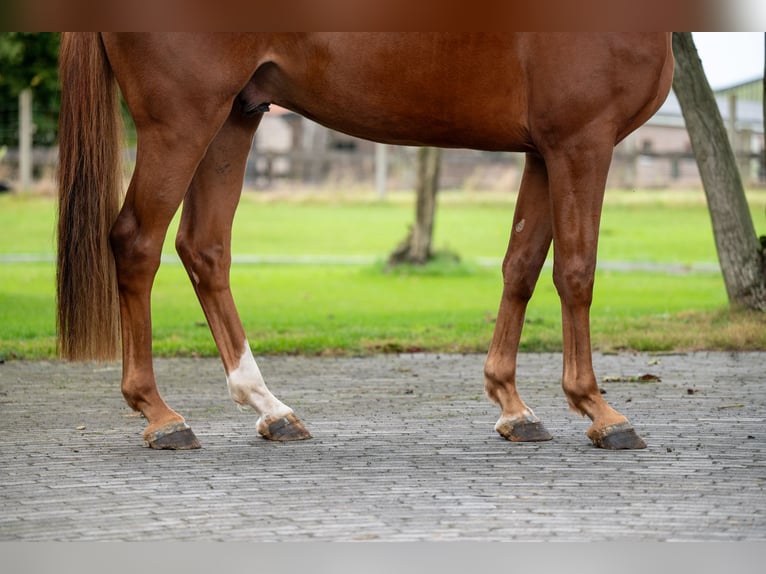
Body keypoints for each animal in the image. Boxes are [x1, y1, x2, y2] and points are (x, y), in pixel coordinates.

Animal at [57, 32, 676, 450]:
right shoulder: (581, 143)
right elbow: (576, 271)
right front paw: (599, 410)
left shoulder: (543, 151)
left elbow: (520, 266)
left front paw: (512, 406)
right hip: (181, 122)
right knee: (137, 243)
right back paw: (161, 416)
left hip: (234, 117)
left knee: (204, 249)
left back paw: (270, 409)